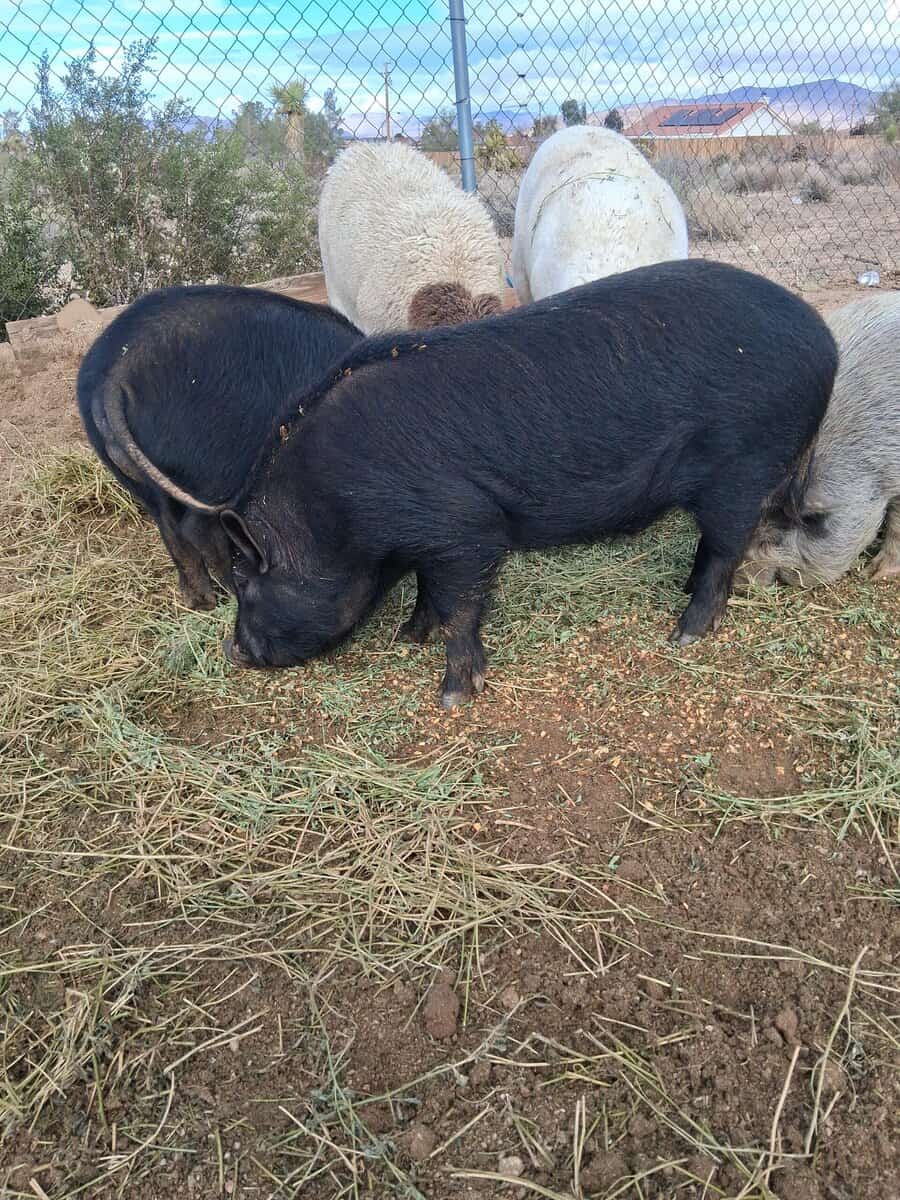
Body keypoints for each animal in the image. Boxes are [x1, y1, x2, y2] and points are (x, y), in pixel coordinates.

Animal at [77, 283, 361, 609]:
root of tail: (113, 378)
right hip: (215, 463)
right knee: (198, 527)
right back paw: (230, 594)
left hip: (139, 478)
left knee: (171, 528)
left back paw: (202, 602)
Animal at [117, 260, 837, 707]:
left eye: (247, 581)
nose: (233, 651)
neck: (332, 508)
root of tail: (825, 342)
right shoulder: (426, 543)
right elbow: (429, 595)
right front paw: (407, 637)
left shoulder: (466, 528)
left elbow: (462, 605)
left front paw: (454, 694)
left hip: (746, 462)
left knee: (726, 550)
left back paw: (685, 633)